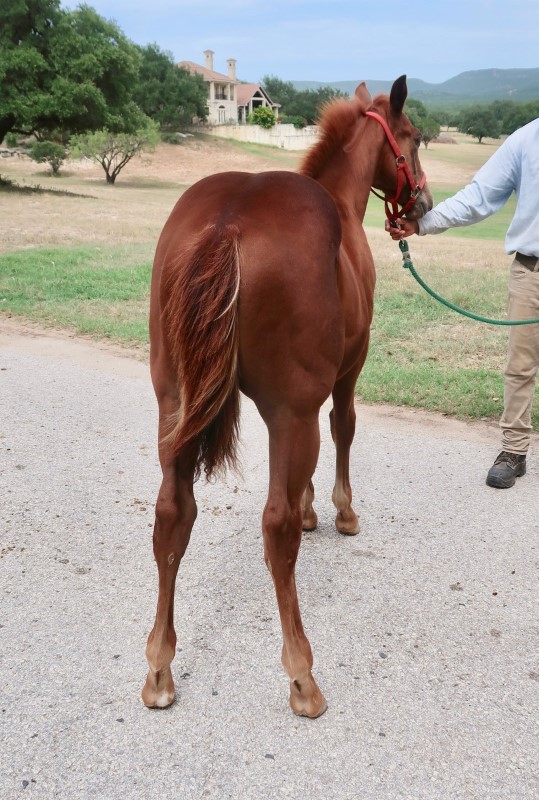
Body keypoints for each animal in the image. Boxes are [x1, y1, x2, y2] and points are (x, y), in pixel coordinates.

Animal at [141, 76, 432, 720]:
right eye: (413, 138)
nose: (422, 203)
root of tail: (228, 224)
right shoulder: (347, 373)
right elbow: (344, 429)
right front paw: (340, 512)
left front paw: (311, 505)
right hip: (288, 412)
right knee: (275, 529)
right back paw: (302, 674)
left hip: (173, 405)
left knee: (173, 514)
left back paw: (159, 667)